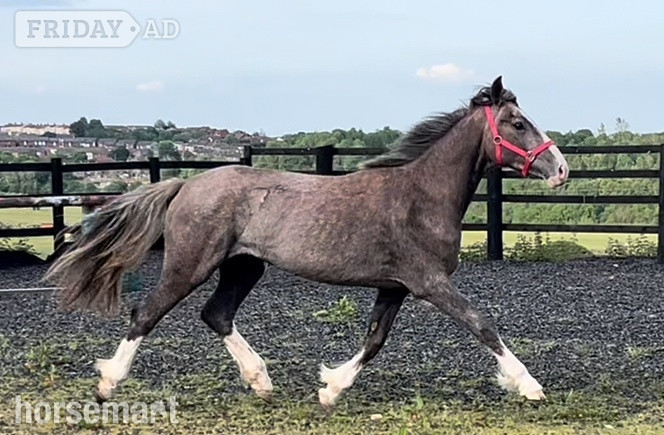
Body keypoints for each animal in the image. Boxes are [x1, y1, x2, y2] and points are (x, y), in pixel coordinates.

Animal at [45, 77, 569, 410]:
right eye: (518, 122)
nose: (561, 169)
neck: (421, 195)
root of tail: (184, 185)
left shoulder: (394, 286)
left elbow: (374, 339)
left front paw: (330, 389)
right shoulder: (428, 282)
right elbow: (482, 324)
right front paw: (529, 386)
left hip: (244, 266)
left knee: (216, 314)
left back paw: (261, 382)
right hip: (189, 264)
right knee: (146, 313)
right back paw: (107, 385)